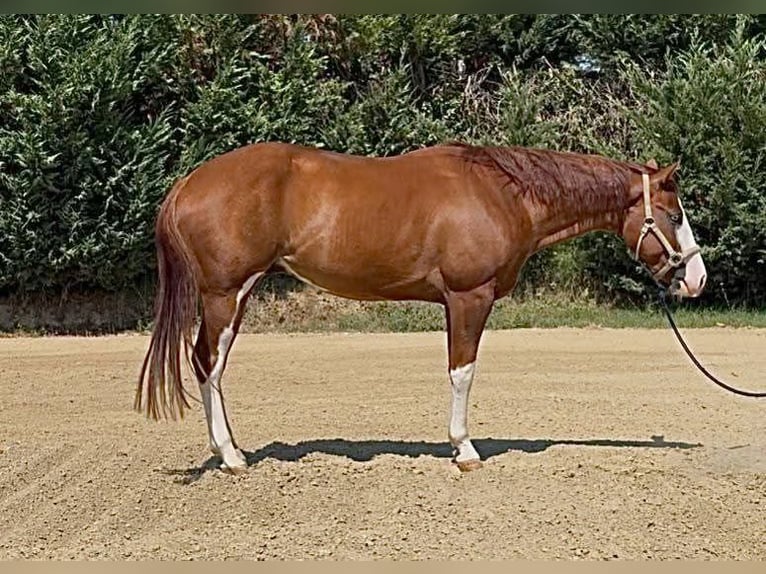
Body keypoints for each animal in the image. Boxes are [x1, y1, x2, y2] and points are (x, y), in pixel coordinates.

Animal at [136, 142, 707, 474]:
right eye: (675, 214)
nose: (697, 279)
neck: (504, 193)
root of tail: (187, 183)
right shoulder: (469, 297)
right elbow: (463, 372)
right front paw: (465, 450)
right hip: (224, 294)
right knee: (208, 365)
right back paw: (231, 457)